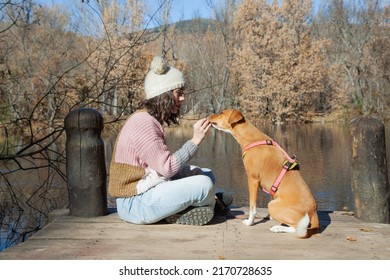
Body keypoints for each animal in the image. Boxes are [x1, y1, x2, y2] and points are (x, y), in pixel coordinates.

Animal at [209, 109, 318, 238]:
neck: (252, 139)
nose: (209, 116)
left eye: (222, 112)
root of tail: (314, 211)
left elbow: (252, 206)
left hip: (273, 205)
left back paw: (277, 228)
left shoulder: (252, 179)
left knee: (299, 229)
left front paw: (250, 222)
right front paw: (268, 216)